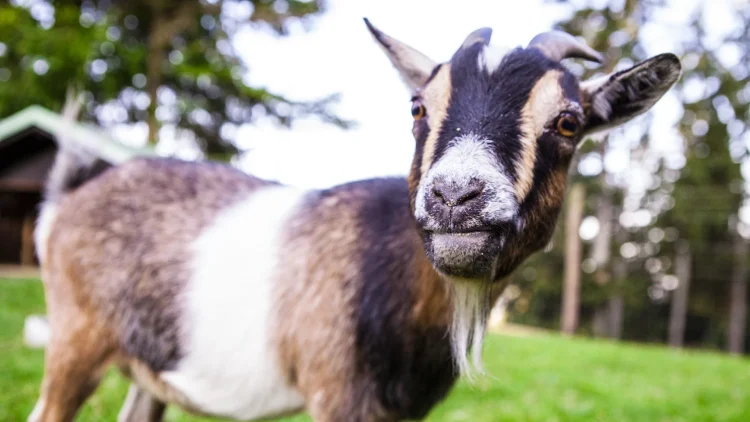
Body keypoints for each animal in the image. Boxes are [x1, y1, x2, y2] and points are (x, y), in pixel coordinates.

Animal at [29, 19, 681, 422]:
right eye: (417, 107)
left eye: (569, 123)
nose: (456, 195)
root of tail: (69, 195)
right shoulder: (337, 394)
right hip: (75, 337)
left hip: (148, 370)